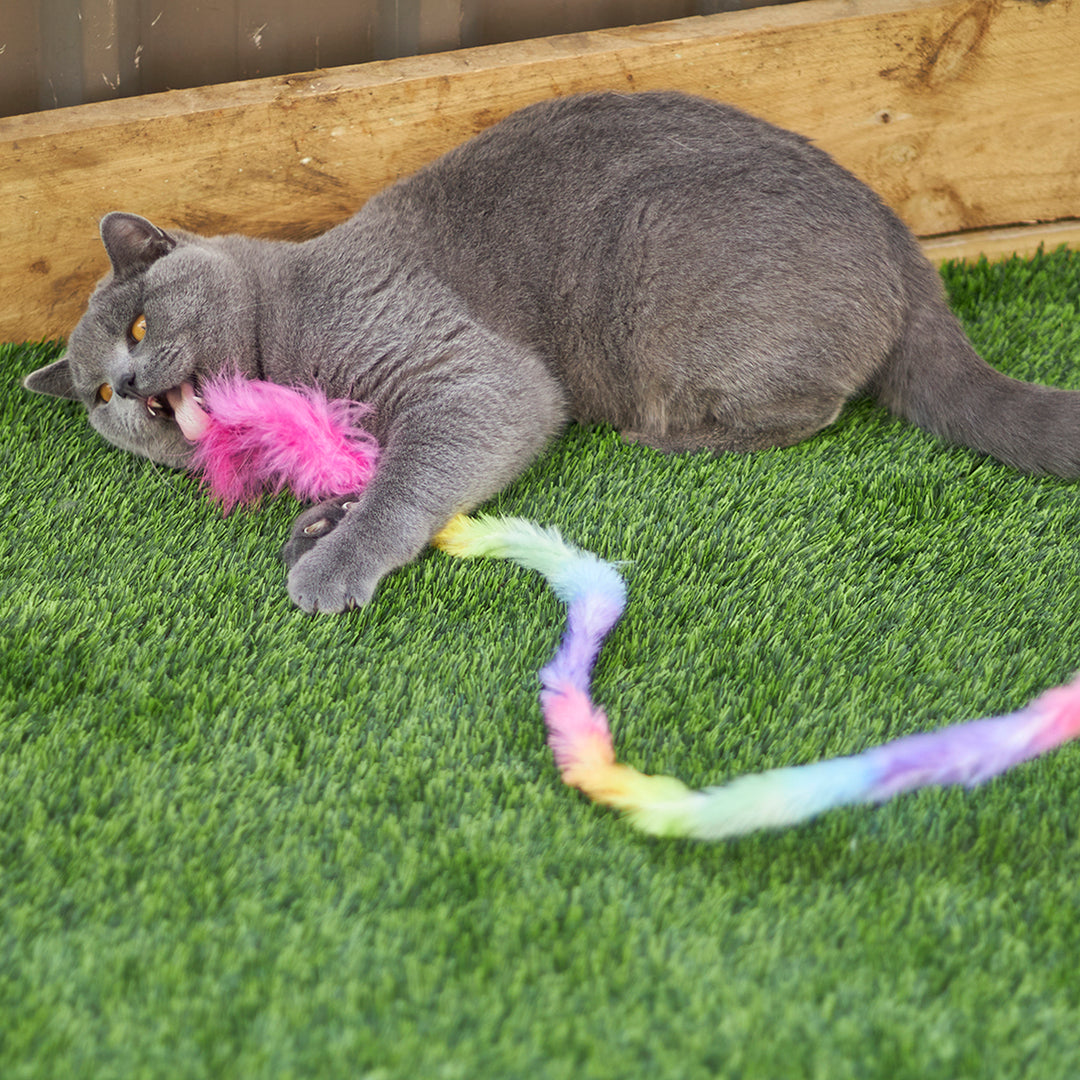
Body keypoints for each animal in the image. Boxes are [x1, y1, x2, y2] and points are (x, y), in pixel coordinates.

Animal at [23, 91, 1080, 613]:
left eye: (139, 326)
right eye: (97, 399)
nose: (126, 384)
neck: (279, 315)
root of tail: (902, 239)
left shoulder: (468, 371)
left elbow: (418, 474)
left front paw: (336, 559)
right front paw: (321, 518)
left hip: (659, 270)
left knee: (810, 408)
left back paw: (668, 438)